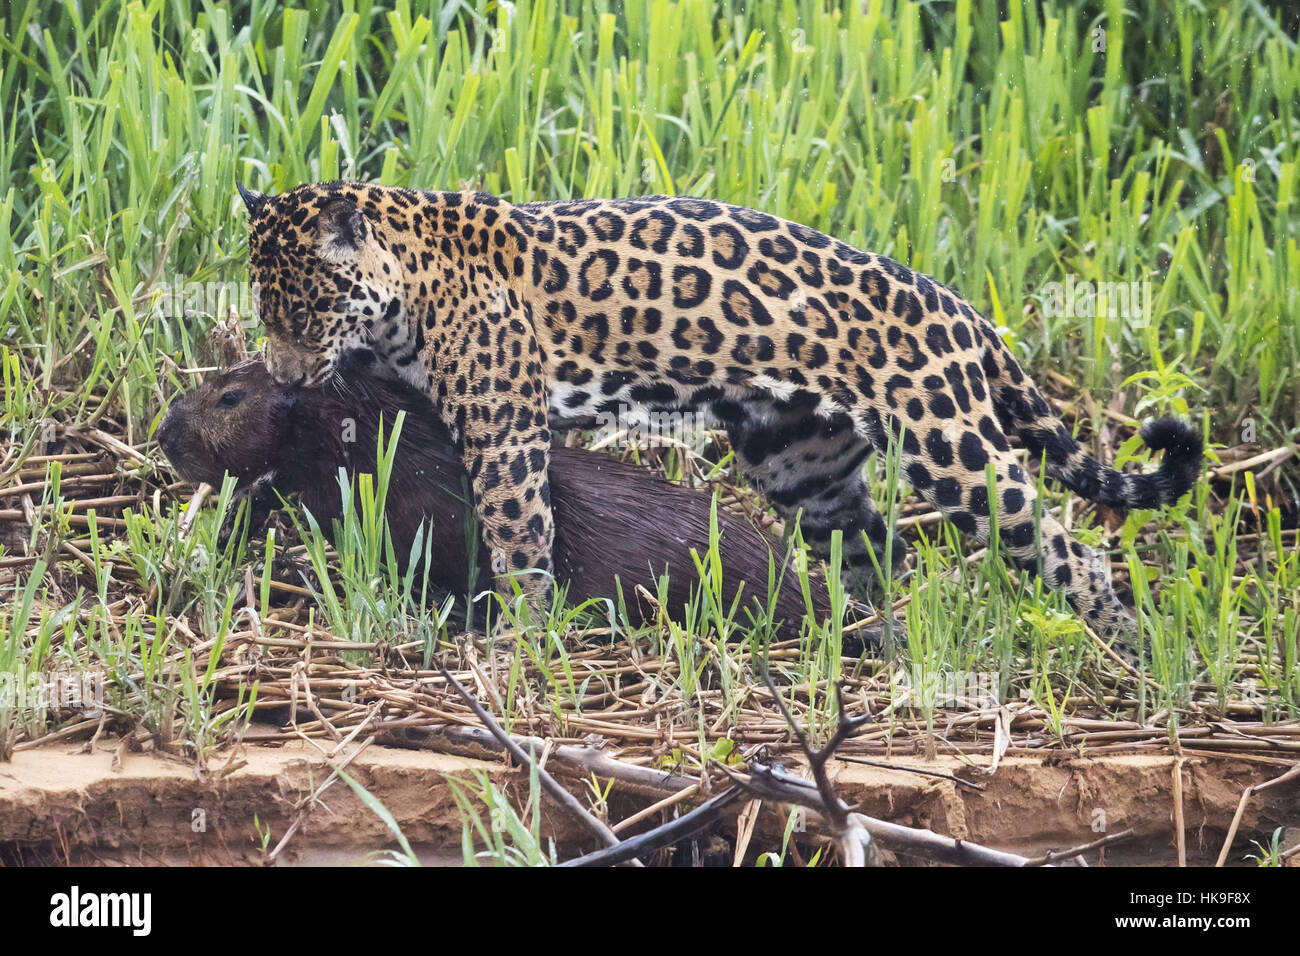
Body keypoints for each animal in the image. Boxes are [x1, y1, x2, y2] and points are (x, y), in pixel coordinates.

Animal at [238, 180, 1203, 654]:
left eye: (305, 309)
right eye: (264, 306)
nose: (284, 371)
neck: (403, 284)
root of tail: (962, 310)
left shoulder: (505, 429)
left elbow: (518, 530)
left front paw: (523, 634)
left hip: (950, 444)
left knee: (1068, 547)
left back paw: (1140, 652)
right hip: (800, 460)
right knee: (869, 545)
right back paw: (857, 633)